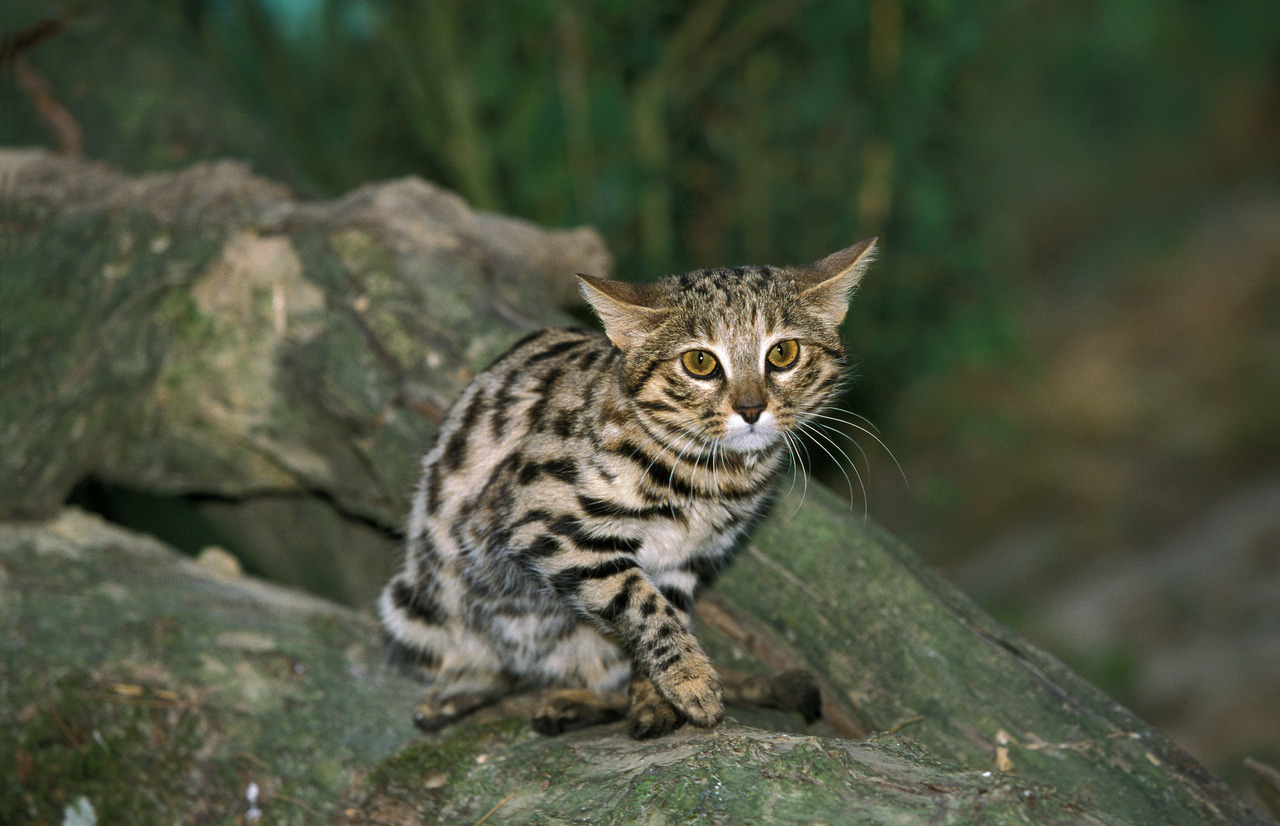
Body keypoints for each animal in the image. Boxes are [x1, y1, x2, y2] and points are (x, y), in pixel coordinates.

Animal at [376, 235, 880, 737]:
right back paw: (463, 695)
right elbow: (640, 603)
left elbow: (663, 612)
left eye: (782, 354)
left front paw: (657, 698)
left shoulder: (681, 563)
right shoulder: (541, 523)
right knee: (497, 666)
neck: (713, 479)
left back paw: (570, 701)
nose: (751, 409)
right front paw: (691, 680)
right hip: (411, 605)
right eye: (700, 361)